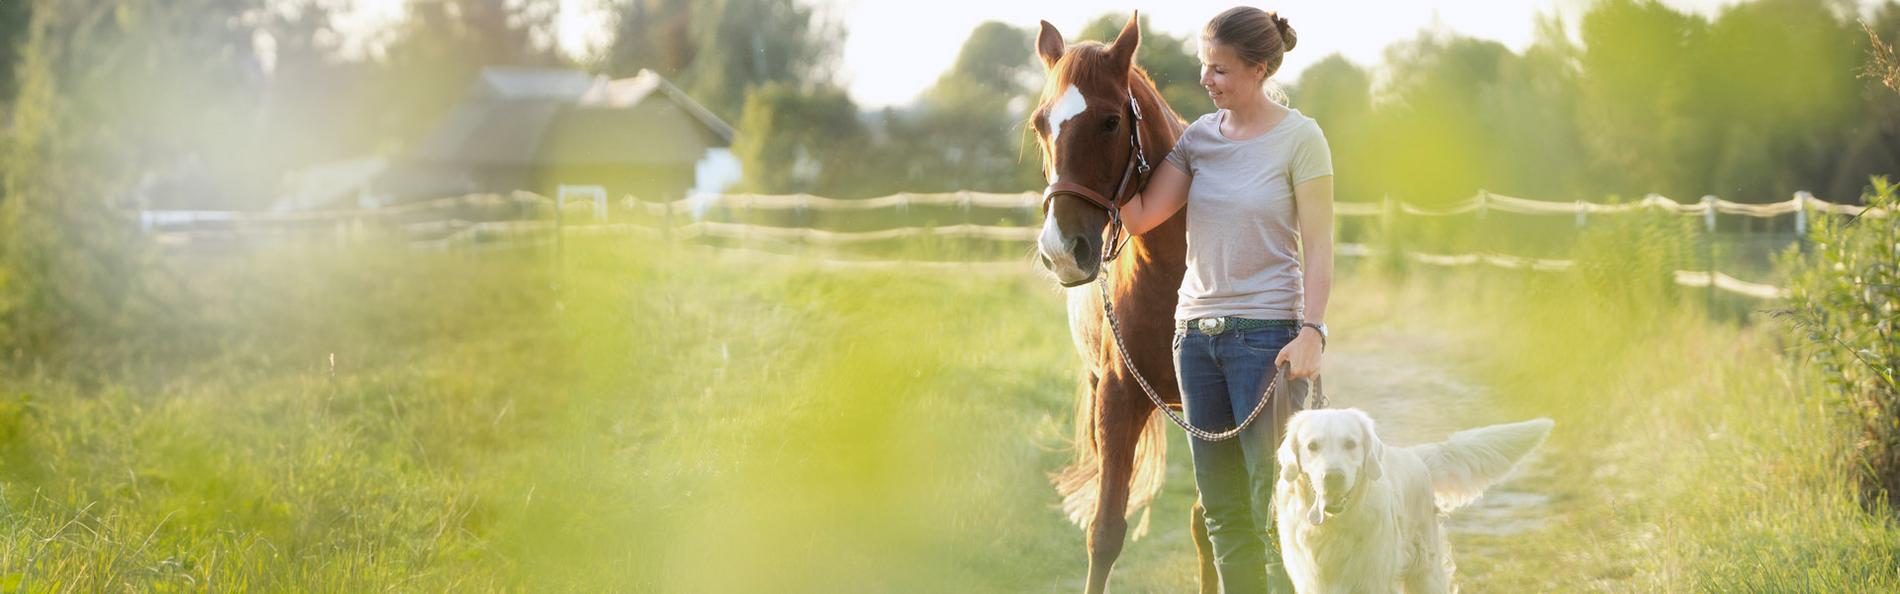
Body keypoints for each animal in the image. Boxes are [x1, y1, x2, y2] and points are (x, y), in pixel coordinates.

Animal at [1276, 409, 1558, 588]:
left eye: (1350, 444)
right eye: (1312, 446)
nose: (1332, 478)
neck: (1333, 527)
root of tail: (1417, 456)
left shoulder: (1373, 580)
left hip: (1426, 571)